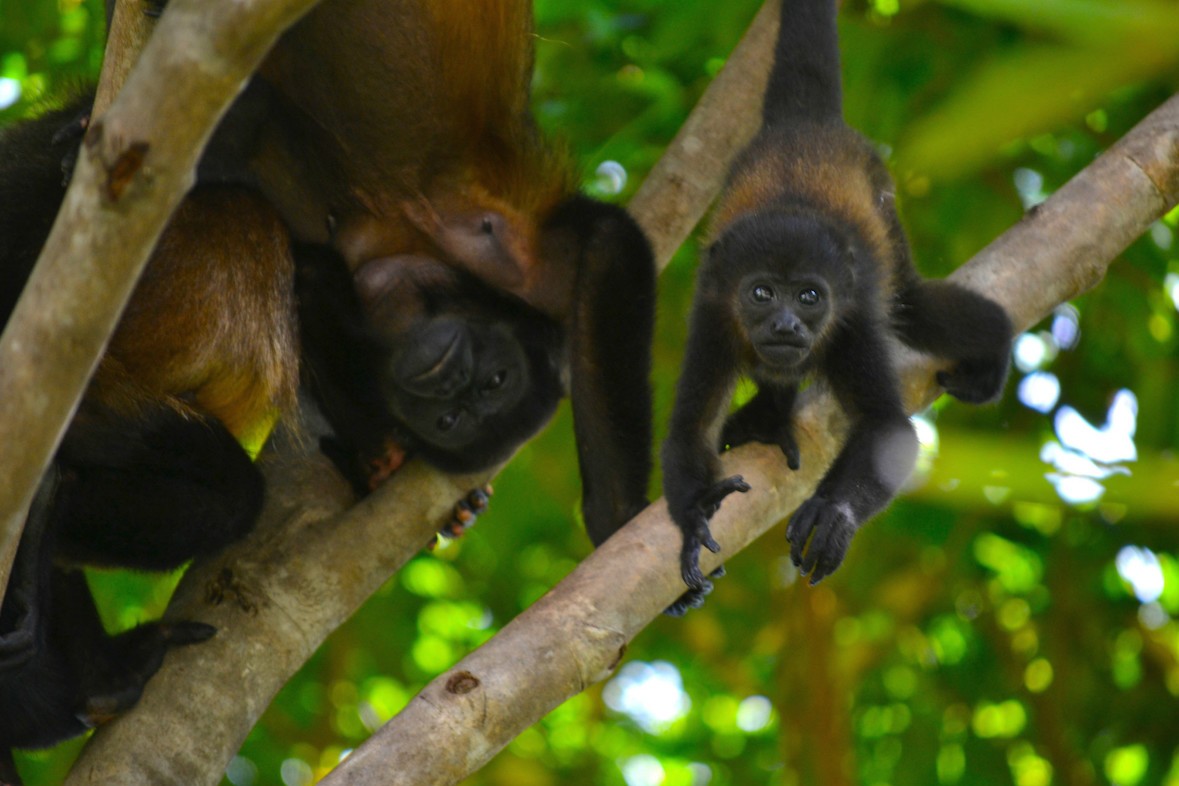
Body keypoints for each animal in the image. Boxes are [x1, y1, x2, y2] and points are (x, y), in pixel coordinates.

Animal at [660, 0, 1012, 611]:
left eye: (809, 296)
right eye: (761, 293)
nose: (784, 324)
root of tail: (806, 125)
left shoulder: (850, 324)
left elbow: (888, 431)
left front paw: (833, 512)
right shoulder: (713, 314)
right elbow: (688, 429)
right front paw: (694, 522)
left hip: (883, 198)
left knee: (913, 304)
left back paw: (994, 346)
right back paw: (769, 414)